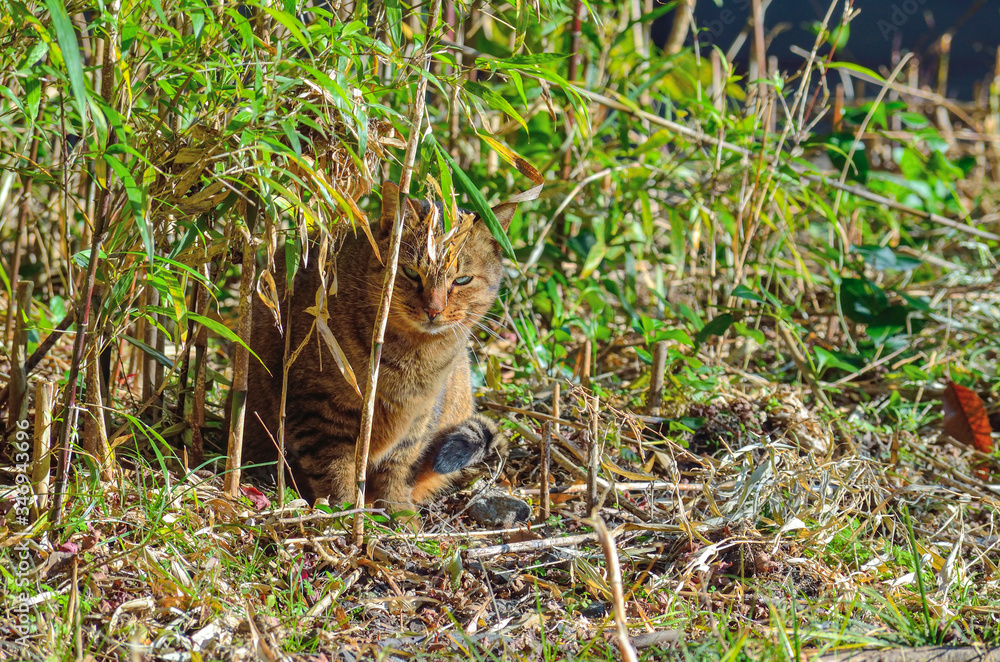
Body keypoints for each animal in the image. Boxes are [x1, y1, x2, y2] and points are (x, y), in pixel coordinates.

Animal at [242, 182, 516, 512]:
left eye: (462, 280)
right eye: (410, 272)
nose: (433, 310)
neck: (413, 354)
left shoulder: (418, 418)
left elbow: (397, 470)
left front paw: (398, 514)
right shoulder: (320, 409)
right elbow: (335, 469)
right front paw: (345, 512)